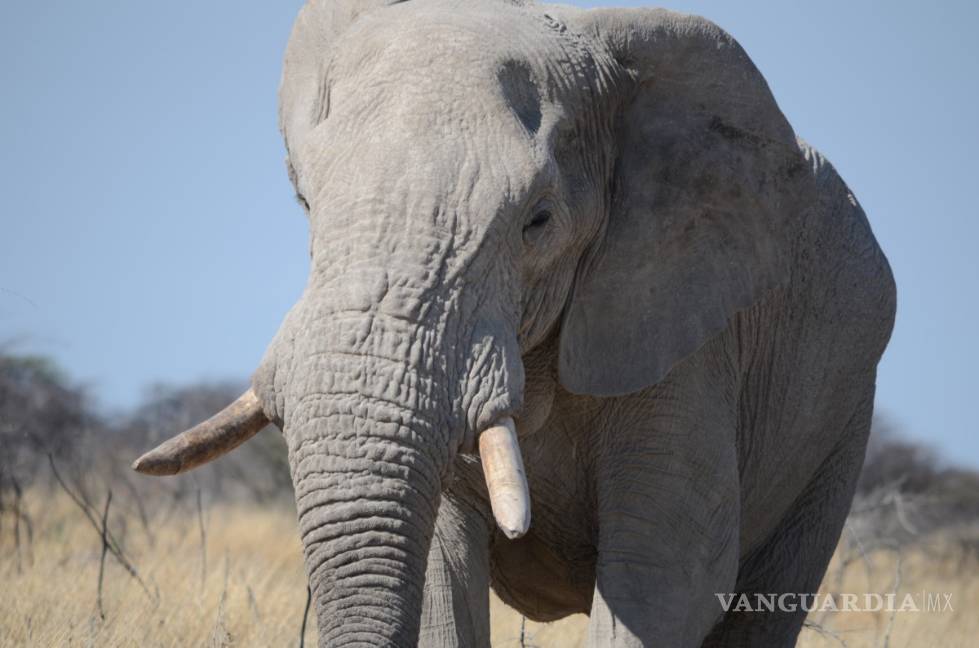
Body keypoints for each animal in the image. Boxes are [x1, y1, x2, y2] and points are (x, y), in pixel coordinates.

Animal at [133, 1, 896, 646]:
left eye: (538, 221)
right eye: (304, 201)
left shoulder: (686, 337)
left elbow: (666, 580)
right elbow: (441, 576)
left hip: (839, 422)